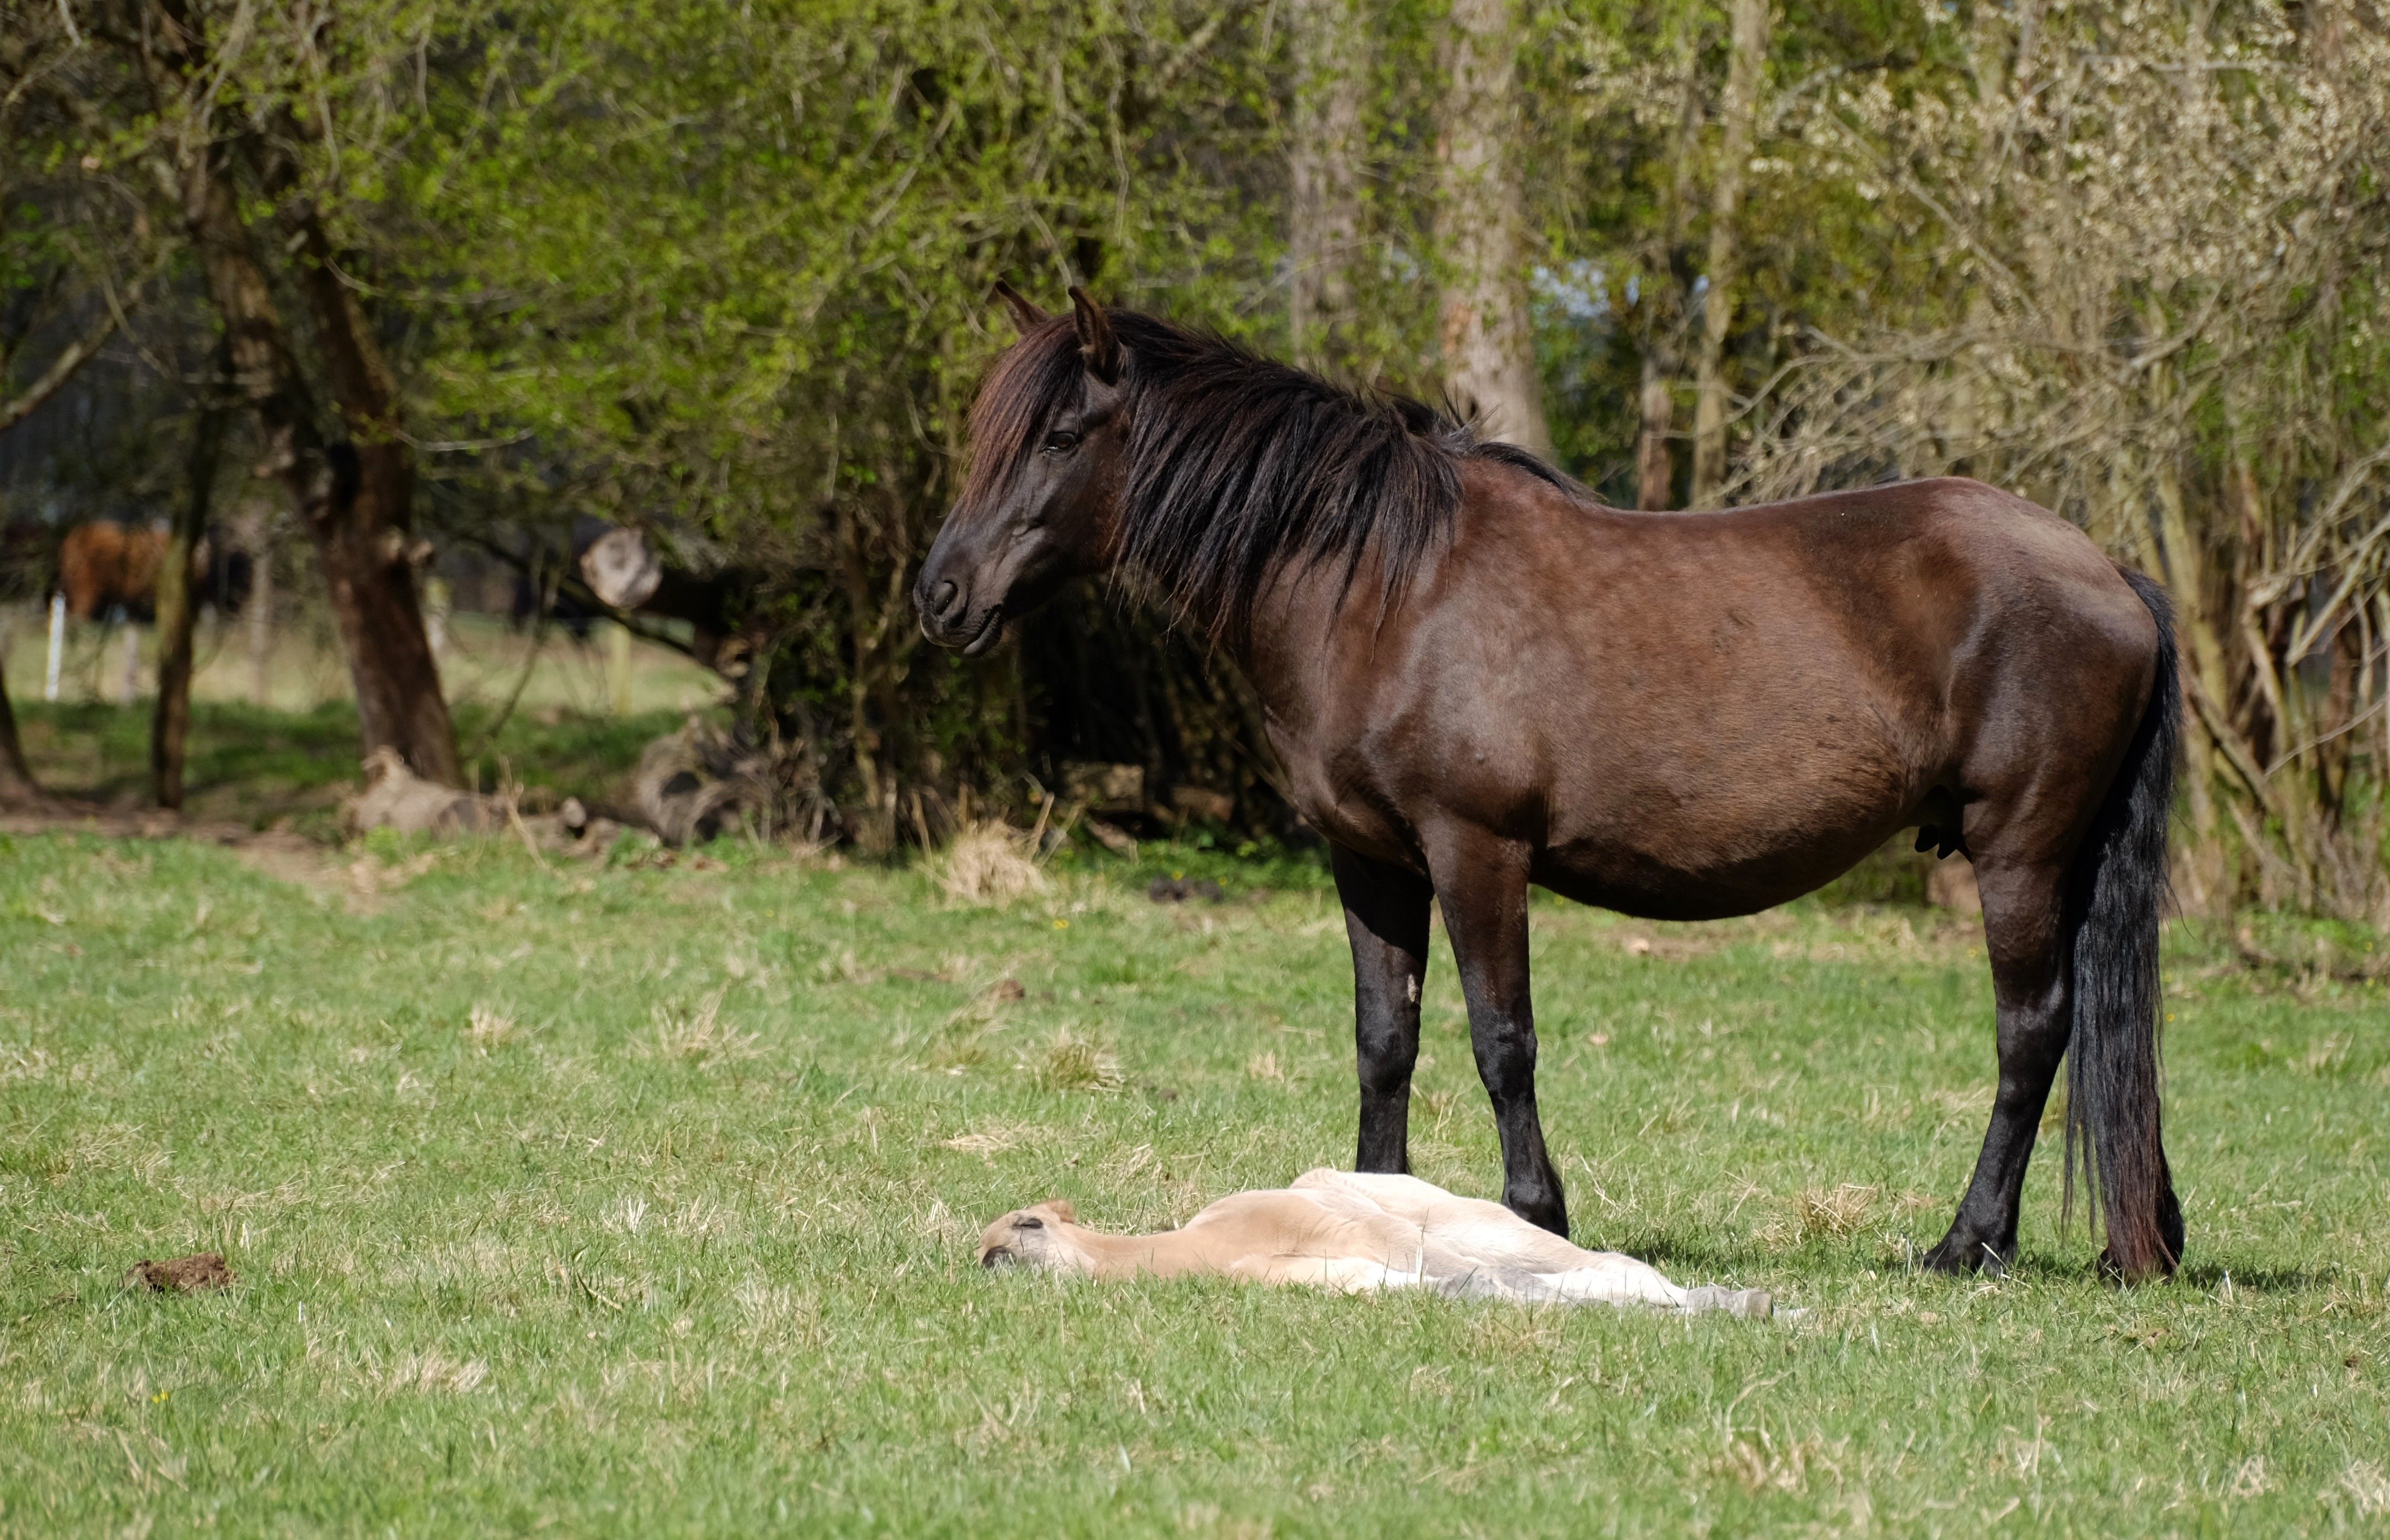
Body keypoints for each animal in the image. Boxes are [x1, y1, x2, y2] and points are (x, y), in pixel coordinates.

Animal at [917, 285, 2184, 1282]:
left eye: (1061, 433)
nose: (941, 595)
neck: (1383, 588)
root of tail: (2106, 570)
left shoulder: (1475, 849)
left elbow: (1500, 1040)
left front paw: (1538, 1211)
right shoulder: (1367, 858)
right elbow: (1386, 1040)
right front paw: (1374, 1195)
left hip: (2017, 854)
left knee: (2031, 1033)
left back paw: (1968, 1242)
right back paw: (2135, 1240)